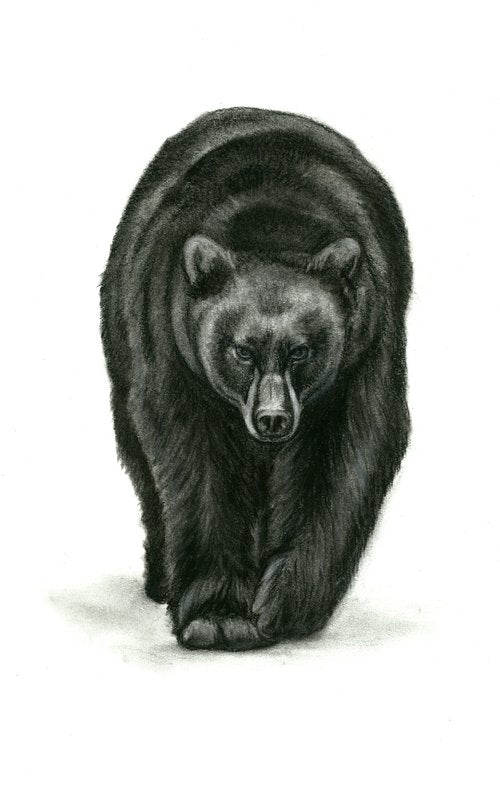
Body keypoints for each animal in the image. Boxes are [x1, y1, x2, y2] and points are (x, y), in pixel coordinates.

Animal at [100, 107, 411, 651]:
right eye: (241, 350)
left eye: (302, 349)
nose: (272, 418)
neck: (274, 228)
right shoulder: (171, 339)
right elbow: (194, 461)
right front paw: (218, 615)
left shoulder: (362, 350)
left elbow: (343, 460)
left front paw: (285, 602)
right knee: (142, 462)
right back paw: (161, 578)